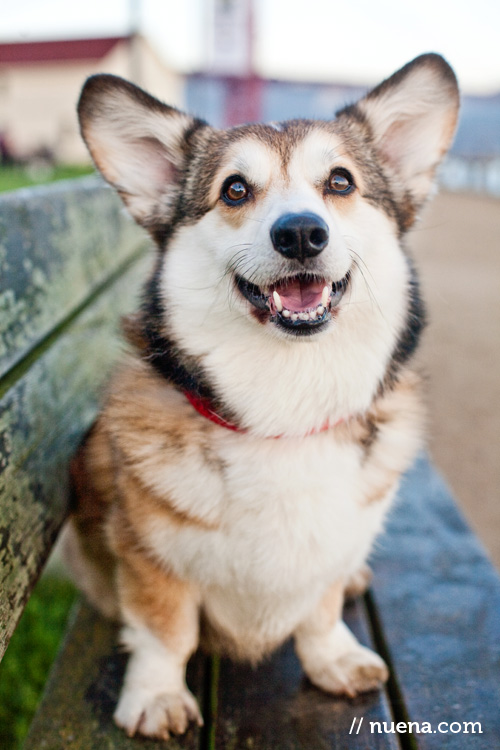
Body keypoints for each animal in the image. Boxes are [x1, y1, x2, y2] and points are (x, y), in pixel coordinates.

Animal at [64, 55, 458, 744]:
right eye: (234, 191)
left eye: (340, 181)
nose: (300, 233)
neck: (286, 409)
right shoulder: (147, 558)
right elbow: (165, 632)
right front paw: (156, 696)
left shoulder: (331, 549)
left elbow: (320, 609)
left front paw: (333, 659)